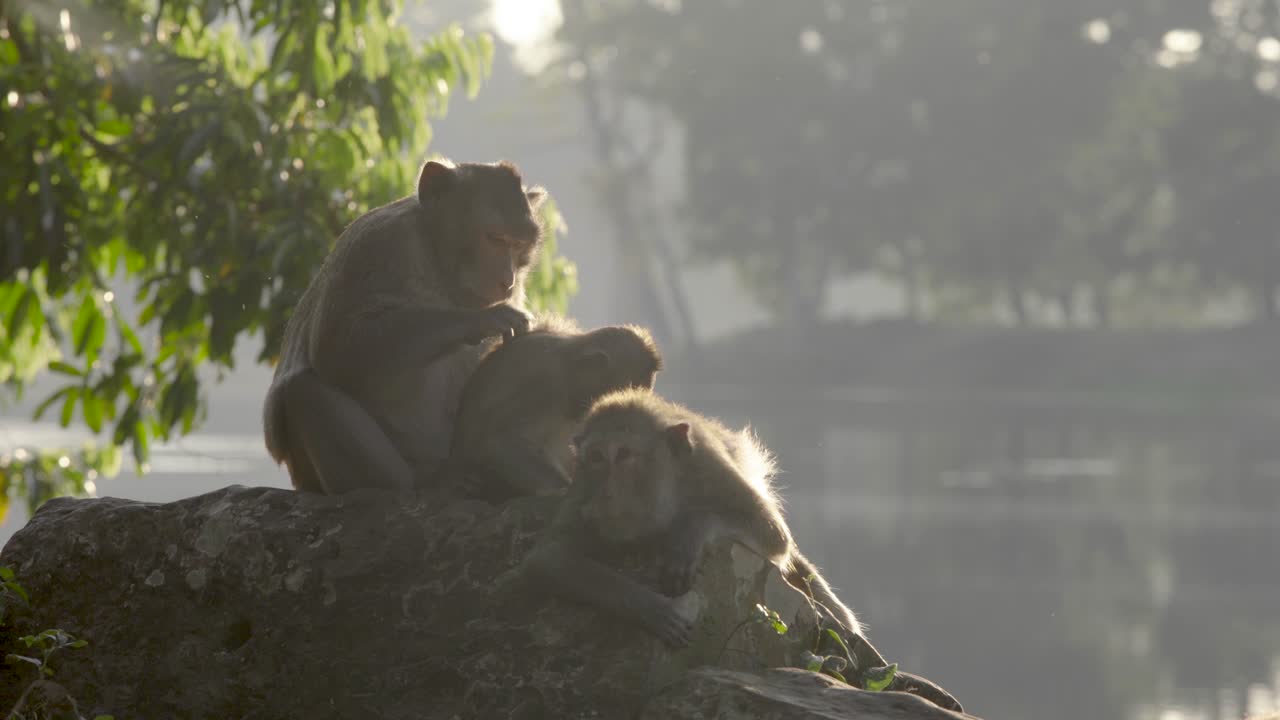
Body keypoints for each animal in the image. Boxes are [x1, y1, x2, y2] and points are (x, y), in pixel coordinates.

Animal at [262, 159, 548, 495]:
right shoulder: (376, 245)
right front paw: (484, 320)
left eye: (520, 246)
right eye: (495, 238)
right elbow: (335, 346)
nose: (507, 280)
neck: (439, 264)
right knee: (301, 391)